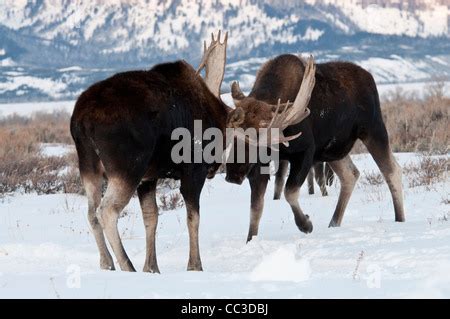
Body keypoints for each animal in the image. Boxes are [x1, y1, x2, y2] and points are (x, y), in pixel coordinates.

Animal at [227, 53, 406, 242]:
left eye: (256, 139)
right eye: (233, 137)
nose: (233, 175)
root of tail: (370, 78)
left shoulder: (306, 152)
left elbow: (289, 192)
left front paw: (306, 224)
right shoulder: (261, 165)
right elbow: (256, 208)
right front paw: (250, 240)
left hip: (373, 129)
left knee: (392, 170)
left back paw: (400, 219)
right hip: (332, 151)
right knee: (351, 174)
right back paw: (334, 223)